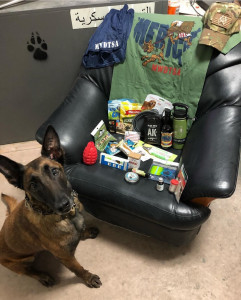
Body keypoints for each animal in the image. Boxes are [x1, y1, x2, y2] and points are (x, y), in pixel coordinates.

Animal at [0, 126, 101, 288]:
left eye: (54, 171)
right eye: (33, 185)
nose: (63, 205)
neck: (67, 217)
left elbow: (82, 231)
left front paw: (86, 232)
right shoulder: (65, 257)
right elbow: (78, 269)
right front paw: (88, 278)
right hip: (23, 261)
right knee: (28, 271)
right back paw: (43, 276)